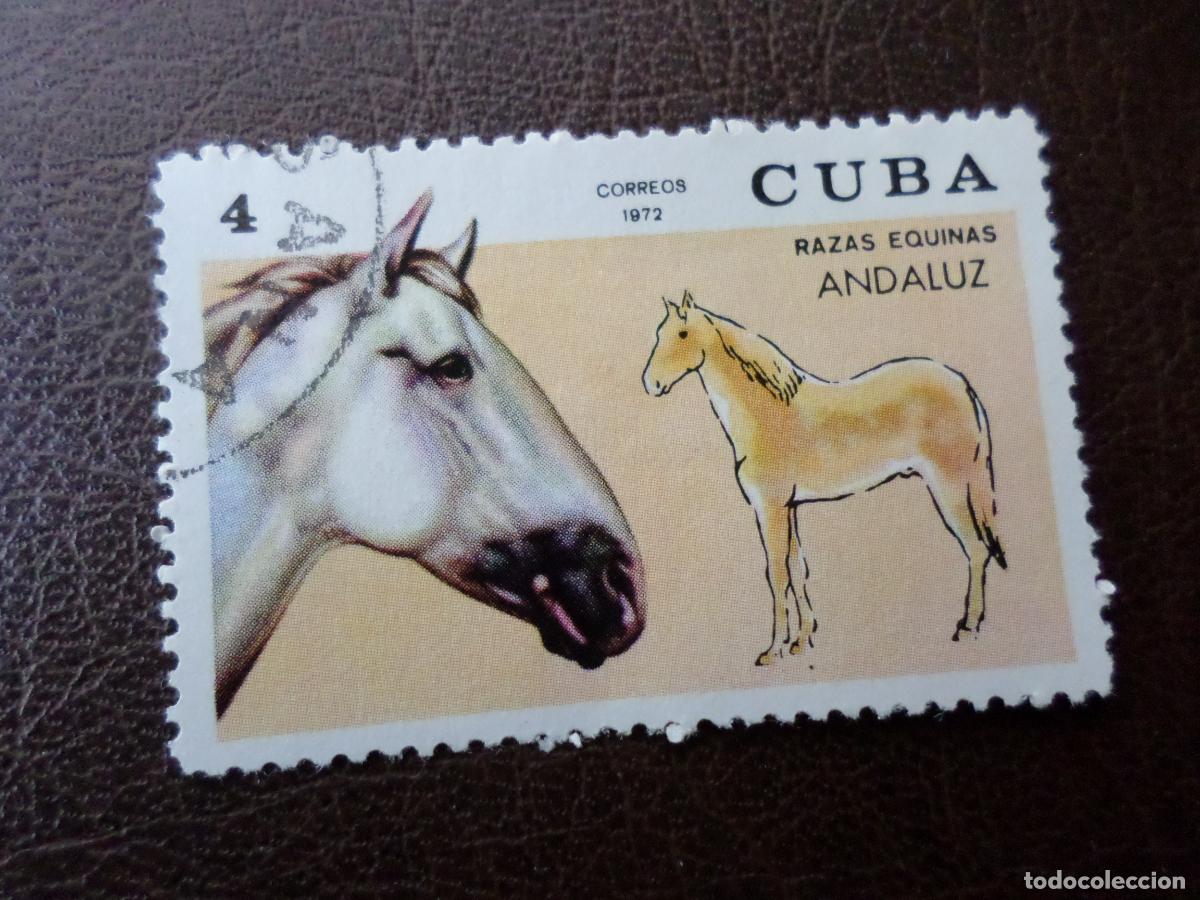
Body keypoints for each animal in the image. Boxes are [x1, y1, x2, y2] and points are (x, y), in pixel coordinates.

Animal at [642, 291, 1005, 666]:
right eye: (658, 333)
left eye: (682, 334)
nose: (651, 384)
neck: (768, 414)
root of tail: (962, 385)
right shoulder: (789, 506)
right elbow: (796, 569)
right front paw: (801, 641)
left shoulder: (769, 507)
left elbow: (776, 574)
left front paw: (773, 651)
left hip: (950, 486)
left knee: (976, 549)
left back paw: (968, 627)